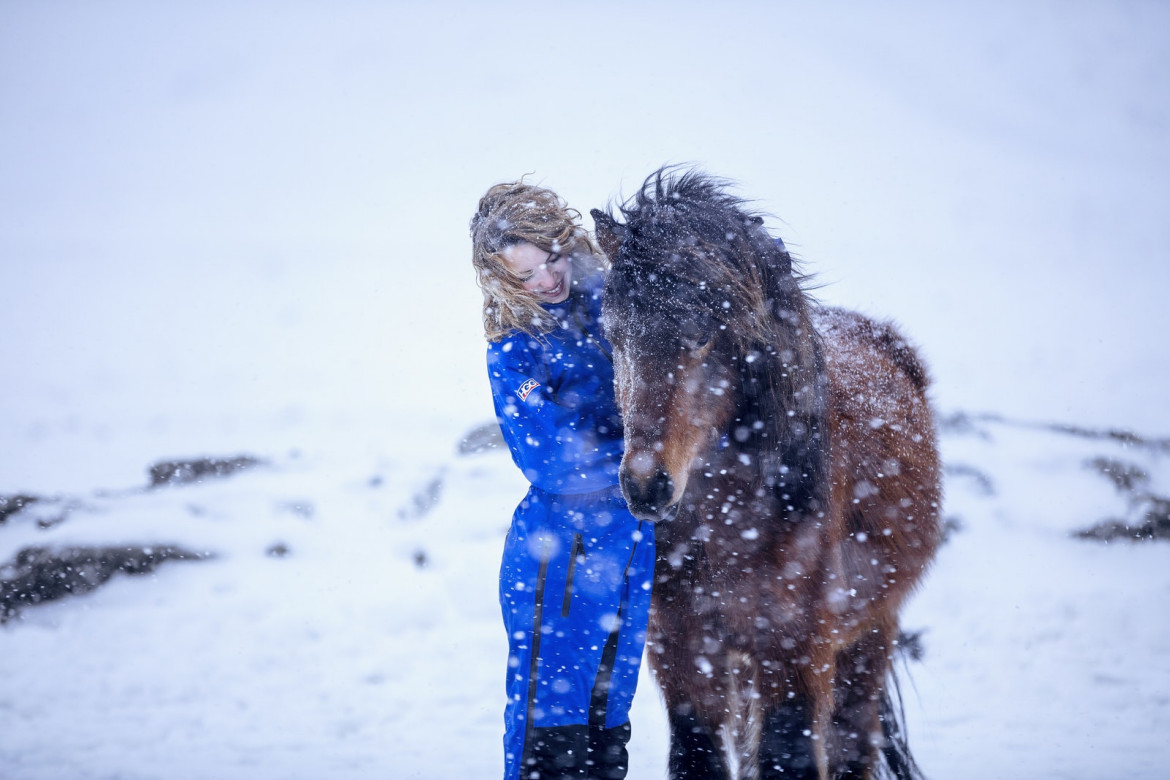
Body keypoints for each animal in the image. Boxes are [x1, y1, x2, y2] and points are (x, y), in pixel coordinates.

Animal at [594, 169, 940, 780]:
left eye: (705, 332)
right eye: (613, 334)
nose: (644, 486)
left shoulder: (796, 658)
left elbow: (788, 757)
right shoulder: (682, 652)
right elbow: (699, 758)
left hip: (871, 633)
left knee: (854, 739)